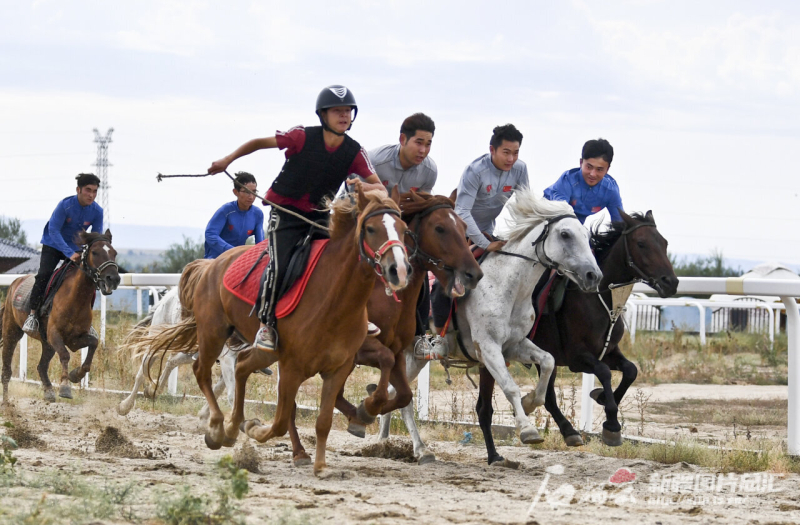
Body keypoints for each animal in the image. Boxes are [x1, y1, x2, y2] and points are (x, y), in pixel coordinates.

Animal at [1, 229, 120, 402]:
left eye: (114, 253)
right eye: (95, 252)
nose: (113, 278)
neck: (75, 299)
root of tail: (14, 284)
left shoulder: (74, 339)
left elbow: (94, 344)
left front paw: (76, 375)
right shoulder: (54, 334)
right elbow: (64, 355)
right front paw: (65, 387)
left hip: (47, 343)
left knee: (41, 366)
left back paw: (49, 391)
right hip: (11, 331)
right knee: (6, 369)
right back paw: (6, 402)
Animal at [140, 184, 410, 474]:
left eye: (404, 228)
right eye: (370, 228)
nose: (399, 270)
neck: (334, 299)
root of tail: (210, 265)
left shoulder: (339, 367)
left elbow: (324, 420)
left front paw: (322, 465)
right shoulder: (291, 368)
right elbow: (281, 420)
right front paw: (255, 430)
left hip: (262, 351)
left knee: (241, 367)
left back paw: (232, 429)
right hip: (214, 332)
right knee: (202, 371)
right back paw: (218, 429)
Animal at [380, 188, 600, 462]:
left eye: (586, 237)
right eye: (565, 234)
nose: (594, 275)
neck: (508, 285)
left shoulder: (514, 345)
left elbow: (548, 362)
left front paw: (530, 402)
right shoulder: (488, 347)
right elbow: (510, 387)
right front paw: (527, 429)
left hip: (416, 359)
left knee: (394, 392)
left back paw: (388, 441)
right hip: (408, 353)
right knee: (401, 396)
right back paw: (417, 448)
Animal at [478, 211, 680, 464]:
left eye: (664, 243)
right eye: (641, 243)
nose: (670, 282)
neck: (597, 299)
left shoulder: (608, 351)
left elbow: (631, 370)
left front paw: (602, 397)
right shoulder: (577, 357)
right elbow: (603, 372)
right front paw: (611, 425)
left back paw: (567, 431)